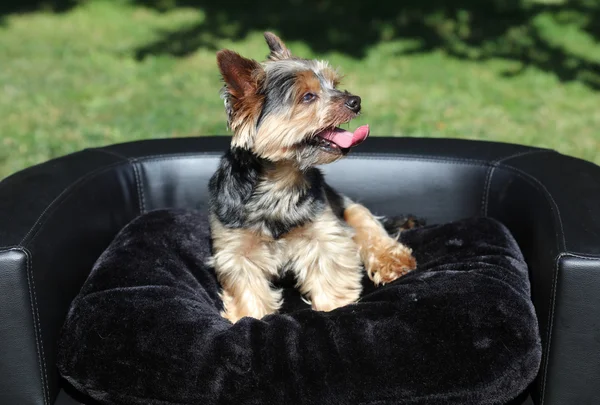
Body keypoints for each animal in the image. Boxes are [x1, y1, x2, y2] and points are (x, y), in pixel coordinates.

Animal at [209, 32, 414, 322]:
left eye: (334, 84)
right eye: (307, 96)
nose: (356, 100)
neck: (280, 181)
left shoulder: (324, 234)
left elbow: (330, 275)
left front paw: (333, 309)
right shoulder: (235, 247)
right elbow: (246, 288)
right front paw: (248, 315)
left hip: (348, 207)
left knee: (370, 227)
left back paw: (393, 261)